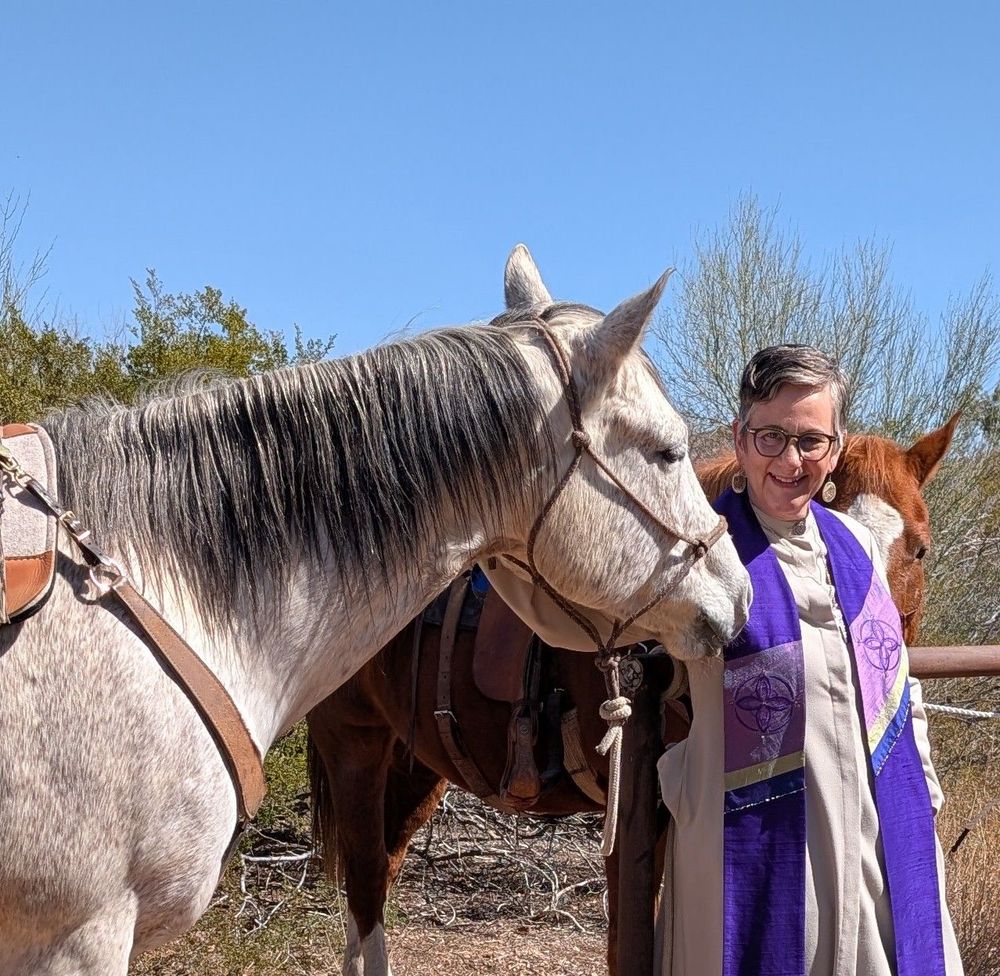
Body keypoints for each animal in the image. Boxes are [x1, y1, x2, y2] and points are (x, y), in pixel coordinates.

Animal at [0, 245, 752, 975]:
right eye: (668, 450)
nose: (738, 594)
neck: (146, 583)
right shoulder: (79, 936)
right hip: (358, 746)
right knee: (365, 890)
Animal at [306, 412, 959, 976]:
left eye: (921, 547)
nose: (872, 644)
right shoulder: (631, 812)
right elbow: (627, 946)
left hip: (417, 762)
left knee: (383, 869)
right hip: (354, 742)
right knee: (365, 882)